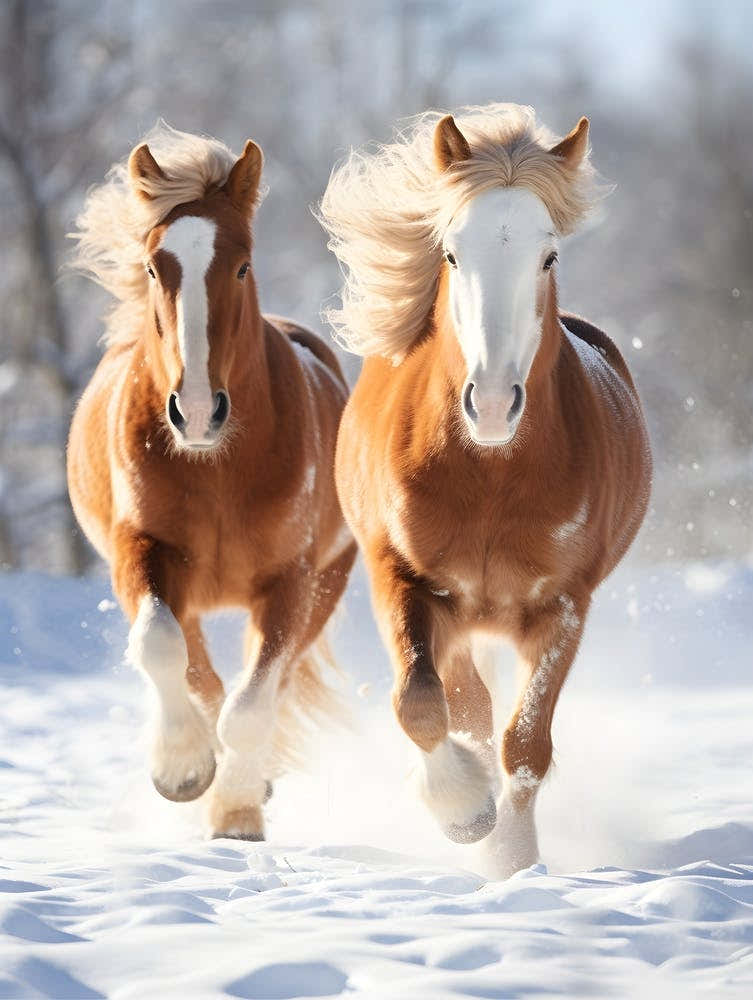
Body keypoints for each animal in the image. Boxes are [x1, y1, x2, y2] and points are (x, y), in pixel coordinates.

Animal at [68, 124, 356, 840]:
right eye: (153, 267)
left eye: (243, 265)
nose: (197, 411)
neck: (218, 466)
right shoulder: (142, 552)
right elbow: (163, 649)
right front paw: (182, 771)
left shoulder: (290, 581)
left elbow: (254, 702)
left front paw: (236, 812)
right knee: (197, 666)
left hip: (324, 586)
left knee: (264, 685)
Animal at [318, 104, 651, 876]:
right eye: (449, 253)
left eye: (548, 257)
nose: (494, 404)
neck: (491, 475)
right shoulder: (403, 579)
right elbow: (421, 704)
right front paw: (466, 814)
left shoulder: (563, 605)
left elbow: (525, 745)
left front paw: (513, 862)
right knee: (460, 701)